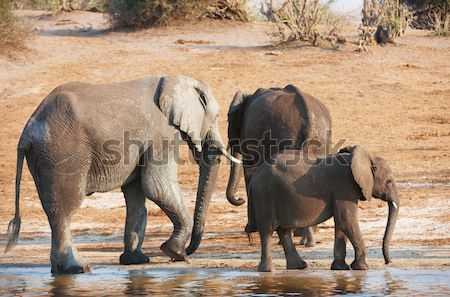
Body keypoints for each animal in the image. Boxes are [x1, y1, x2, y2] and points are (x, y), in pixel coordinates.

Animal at [6, 74, 239, 272]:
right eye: (217, 117)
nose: (186, 253)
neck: (174, 80)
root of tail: (27, 132)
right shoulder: (162, 133)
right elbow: (157, 187)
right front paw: (175, 252)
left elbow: (136, 195)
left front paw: (136, 260)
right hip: (61, 154)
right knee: (64, 210)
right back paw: (78, 269)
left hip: (44, 158)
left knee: (53, 210)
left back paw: (62, 270)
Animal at [248, 145, 400, 272]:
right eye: (389, 181)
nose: (388, 262)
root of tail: (255, 176)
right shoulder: (344, 187)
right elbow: (347, 220)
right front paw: (362, 268)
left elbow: (341, 223)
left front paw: (340, 268)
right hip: (265, 196)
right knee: (267, 231)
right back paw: (268, 270)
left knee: (283, 231)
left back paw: (299, 266)